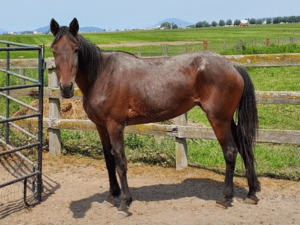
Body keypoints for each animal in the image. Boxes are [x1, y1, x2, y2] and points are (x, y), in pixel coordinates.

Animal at [49, 18, 260, 214]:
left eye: (76, 49)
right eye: (54, 50)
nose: (66, 88)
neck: (102, 75)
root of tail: (232, 66)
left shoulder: (115, 126)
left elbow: (120, 161)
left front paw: (125, 201)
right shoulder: (101, 127)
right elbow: (109, 160)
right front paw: (112, 196)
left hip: (218, 119)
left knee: (230, 152)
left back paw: (225, 197)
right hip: (227, 119)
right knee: (244, 147)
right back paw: (251, 193)